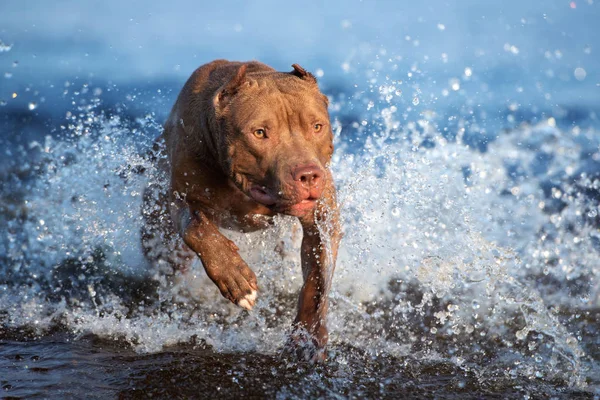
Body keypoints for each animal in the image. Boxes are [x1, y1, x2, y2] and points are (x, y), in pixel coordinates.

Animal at [139, 60, 340, 362]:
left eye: (317, 126)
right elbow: (196, 226)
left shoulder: (323, 218)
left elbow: (317, 280)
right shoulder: (180, 197)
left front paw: (308, 336)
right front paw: (235, 277)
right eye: (260, 132)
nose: (308, 175)